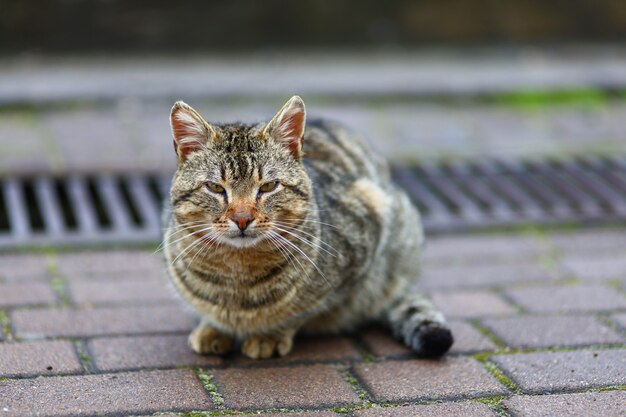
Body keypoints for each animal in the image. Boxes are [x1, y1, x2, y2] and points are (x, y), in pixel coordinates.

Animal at [163, 96, 450, 360]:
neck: (238, 273)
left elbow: (300, 311)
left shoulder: (369, 218)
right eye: (215, 187)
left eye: (268, 186)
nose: (242, 218)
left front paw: (269, 335)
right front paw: (212, 328)